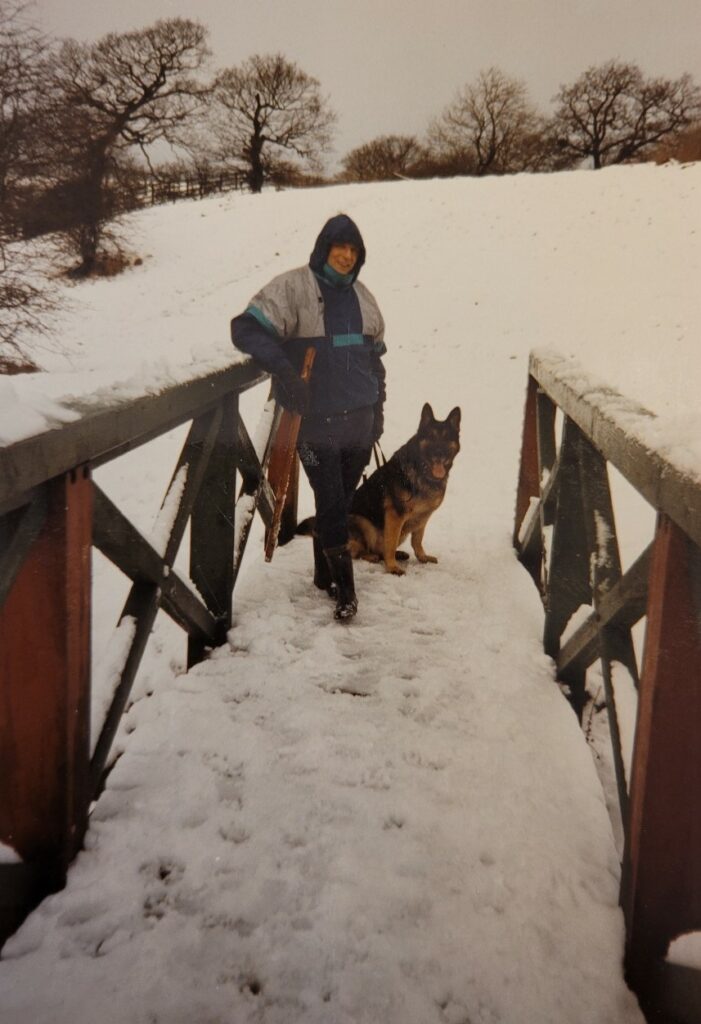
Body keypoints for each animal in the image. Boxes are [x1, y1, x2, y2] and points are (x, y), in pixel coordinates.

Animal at [347, 401, 458, 577]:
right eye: (431, 437)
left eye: (447, 438)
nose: (439, 453)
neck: (421, 471)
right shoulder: (395, 515)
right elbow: (391, 543)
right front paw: (392, 566)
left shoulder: (423, 516)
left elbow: (417, 539)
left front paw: (422, 556)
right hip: (363, 523)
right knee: (356, 550)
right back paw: (372, 556)